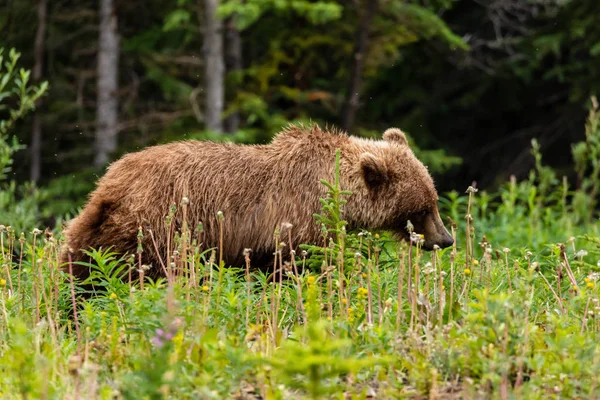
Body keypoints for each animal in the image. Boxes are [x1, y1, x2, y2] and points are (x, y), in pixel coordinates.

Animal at [62, 124, 454, 278]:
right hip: (155, 228)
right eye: (422, 208)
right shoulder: (295, 221)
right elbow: (302, 265)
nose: (446, 239)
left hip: (93, 229)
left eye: (434, 200)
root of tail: (108, 184)